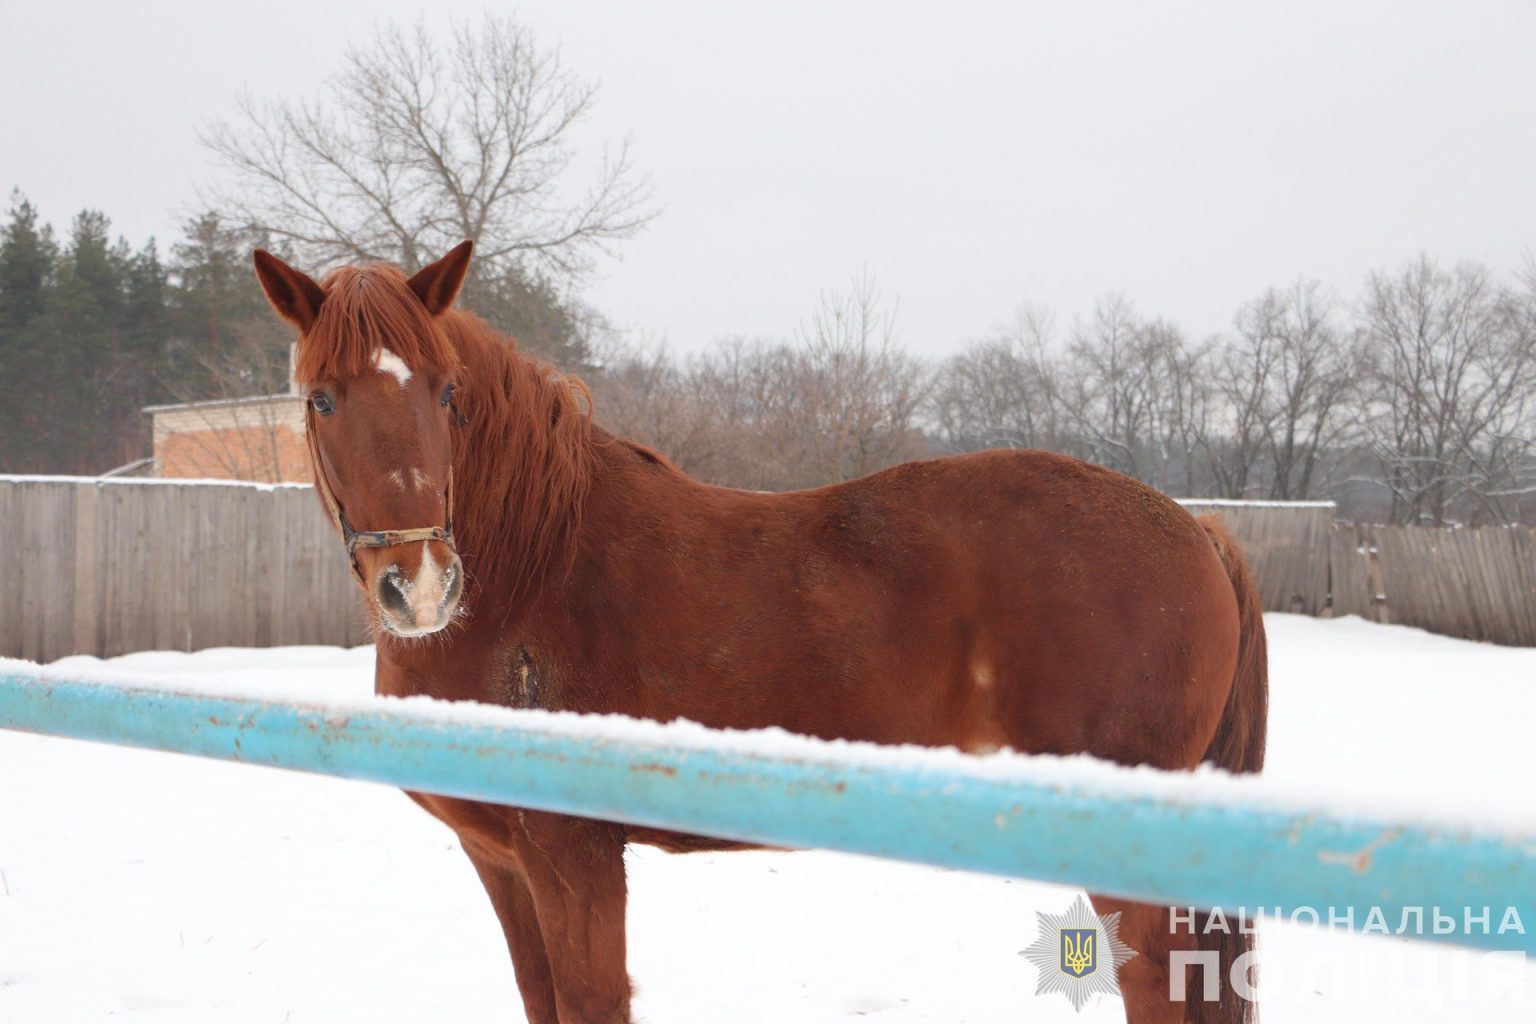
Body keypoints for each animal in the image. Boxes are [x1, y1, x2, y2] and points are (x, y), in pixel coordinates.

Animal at [254, 242, 1259, 1024]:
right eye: (322, 400)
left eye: (446, 392)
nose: (419, 585)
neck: (534, 568)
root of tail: (1195, 529)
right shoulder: (501, 861)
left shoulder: (575, 857)